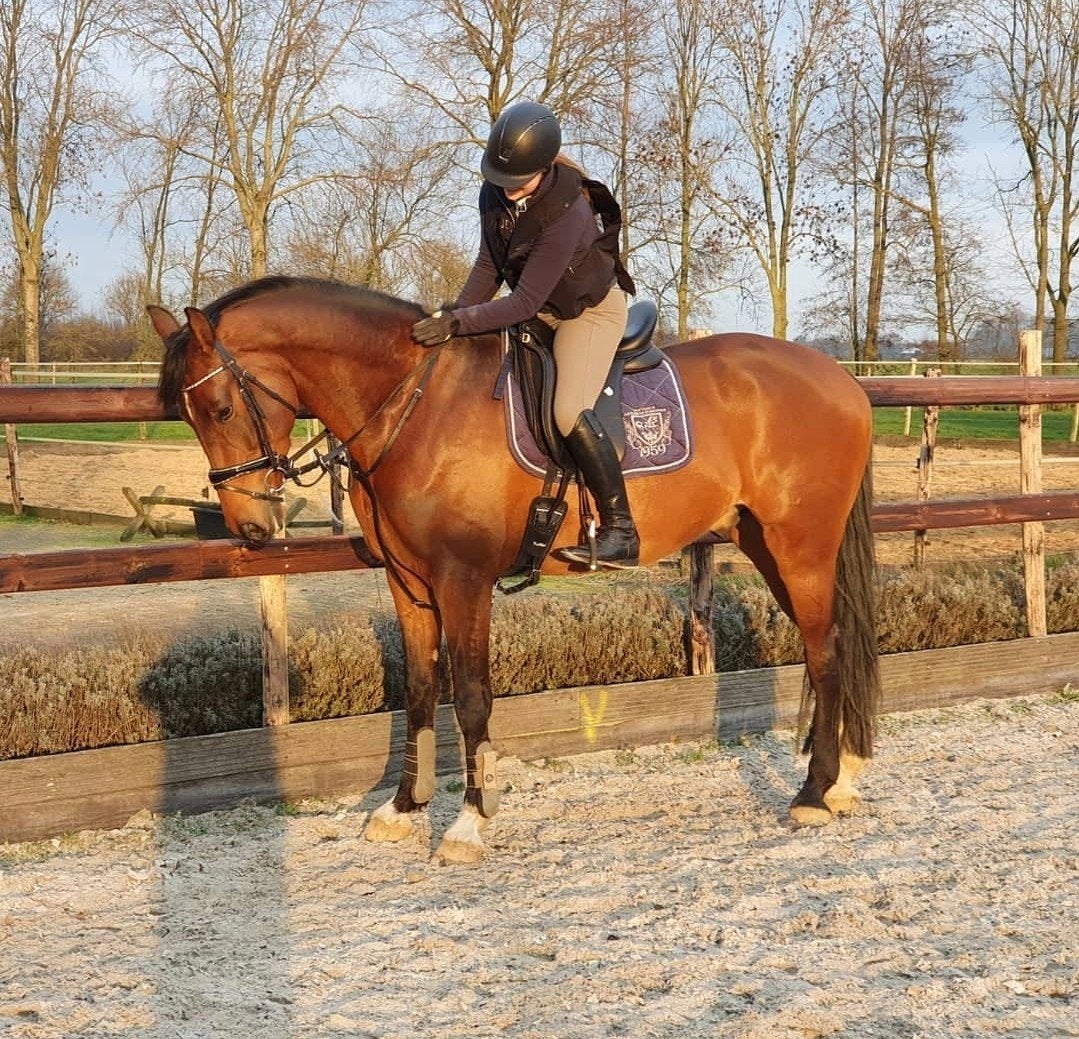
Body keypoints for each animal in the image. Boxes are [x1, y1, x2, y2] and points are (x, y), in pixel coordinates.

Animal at [149, 275, 880, 864]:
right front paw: (402, 808)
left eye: (219, 408)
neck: (415, 403)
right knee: (832, 647)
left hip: (800, 547)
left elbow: (472, 695)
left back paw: (814, 790)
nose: (248, 525)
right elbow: (420, 687)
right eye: (186, 415)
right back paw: (840, 778)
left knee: (825, 651)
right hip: (766, 544)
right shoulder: (408, 582)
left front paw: (469, 822)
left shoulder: (463, 579)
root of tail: (840, 378)